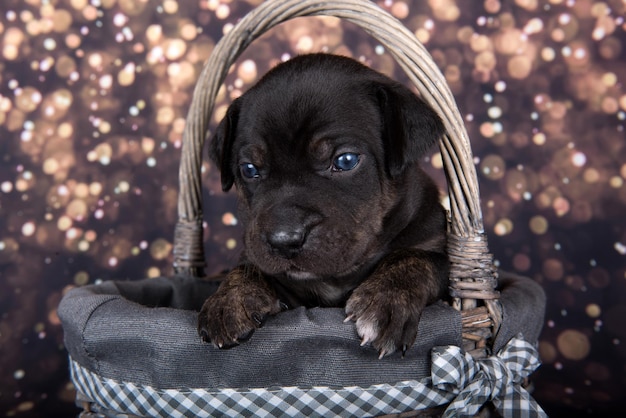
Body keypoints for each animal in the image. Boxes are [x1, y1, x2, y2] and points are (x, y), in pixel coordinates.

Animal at [197, 54, 446, 358]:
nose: (285, 240)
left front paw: (387, 299)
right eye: (249, 169)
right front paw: (229, 299)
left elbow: (415, 257)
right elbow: (248, 266)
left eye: (346, 161)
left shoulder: (439, 247)